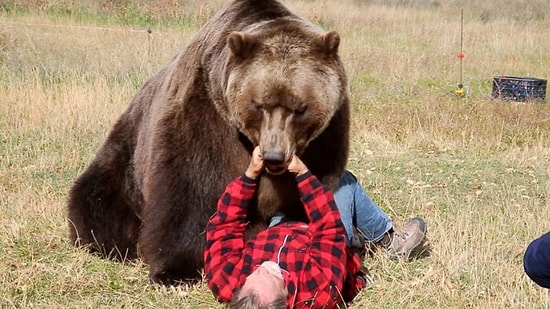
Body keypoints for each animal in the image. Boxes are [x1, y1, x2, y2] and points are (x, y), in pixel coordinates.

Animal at [67, 0, 352, 286]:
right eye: (260, 104)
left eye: (300, 108)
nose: (274, 156)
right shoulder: (204, 118)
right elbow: (188, 190)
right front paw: (175, 270)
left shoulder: (325, 141)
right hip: (126, 158)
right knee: (97, 200)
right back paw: (111, 243)